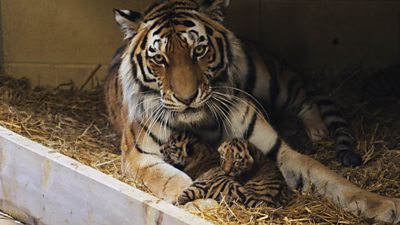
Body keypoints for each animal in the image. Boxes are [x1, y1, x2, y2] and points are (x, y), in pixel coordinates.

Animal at [106, 0, 400, 221]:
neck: (201, 121)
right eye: (159, 59)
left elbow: (329, 177)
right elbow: (171, 179)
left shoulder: (277, 150)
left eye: (199, 50)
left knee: (303, 97)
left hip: (271, 79)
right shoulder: (141, 157)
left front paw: (386, 205)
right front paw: (203, 205)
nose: (187, 98)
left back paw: (317, 130)